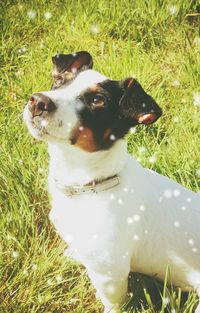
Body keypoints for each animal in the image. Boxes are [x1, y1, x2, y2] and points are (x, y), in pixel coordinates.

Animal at [23, 51, 200, 312]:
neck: (88, 187)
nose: (38, 101)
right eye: (59, 81)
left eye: (98, 100)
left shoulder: (110, 274)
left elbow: (113, 303)